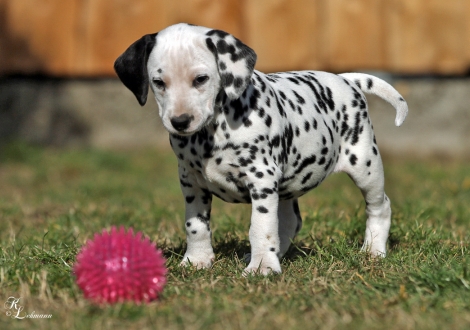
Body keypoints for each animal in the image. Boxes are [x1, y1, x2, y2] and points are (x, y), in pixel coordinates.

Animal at [114, 23, 408, 276]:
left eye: (200, 79)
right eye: (158, 82)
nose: (180, 121)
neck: (213, 132)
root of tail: (346, 80)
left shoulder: (262, 179)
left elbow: (260, 226)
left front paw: (262, 267)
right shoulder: (191, 182)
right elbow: (196, 225)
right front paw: (197, 260)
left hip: (365, 166)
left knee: (379, 206)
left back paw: (373, 250)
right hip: (289, 183)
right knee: (290, 221)